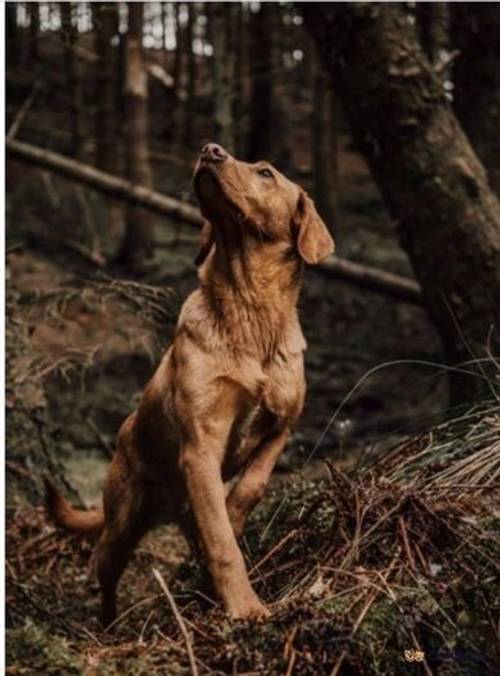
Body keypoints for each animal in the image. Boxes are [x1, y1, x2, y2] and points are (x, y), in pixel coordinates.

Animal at [46, 143, 336, 624]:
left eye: (266, 172)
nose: (210, 150)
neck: (250, 311)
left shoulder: (282, 425)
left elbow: (250, 488)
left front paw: (234, 517)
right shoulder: (203, 440)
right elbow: (221, 543)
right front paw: (245, 606)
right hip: (122, 521)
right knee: (104, 565)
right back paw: (108, 622)